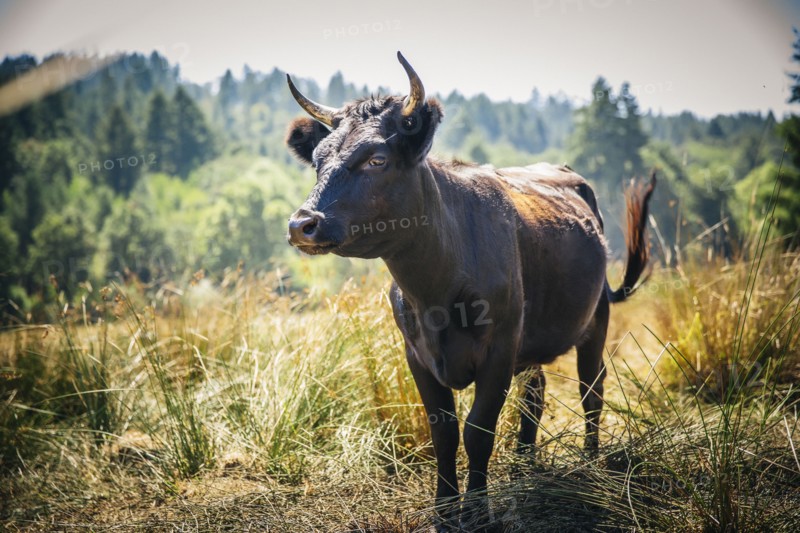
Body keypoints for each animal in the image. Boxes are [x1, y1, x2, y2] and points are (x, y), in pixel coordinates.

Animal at [284, 52, 655, 529]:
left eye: (377, 159)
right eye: (318, 159)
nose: (302, 224)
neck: (435, 291)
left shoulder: (499, 349)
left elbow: (479, 430)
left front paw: (478, 510)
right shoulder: (417, 354)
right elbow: (443, 431)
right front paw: (445, 510)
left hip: (595, 319)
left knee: (591, 388)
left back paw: (590, 462)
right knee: (535, 394)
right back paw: (523, 466)